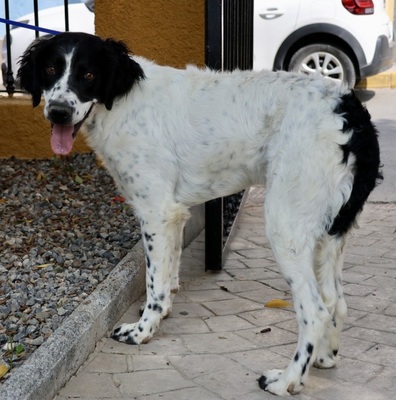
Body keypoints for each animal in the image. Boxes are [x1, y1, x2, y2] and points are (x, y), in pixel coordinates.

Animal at [17, 32, 380, 396]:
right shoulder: (174, 213)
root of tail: (349, 109)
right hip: (329, 232)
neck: (121, 102)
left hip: (286, 225)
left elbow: (154, 282)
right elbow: (167, 274)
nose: (59, 112)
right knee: (335, 302)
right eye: (50, 68)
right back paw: (324, 357)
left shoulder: (156, 211)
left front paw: (142, 330)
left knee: (315, 310)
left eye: (89, 74)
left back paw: (287, 380)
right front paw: (162, 313)